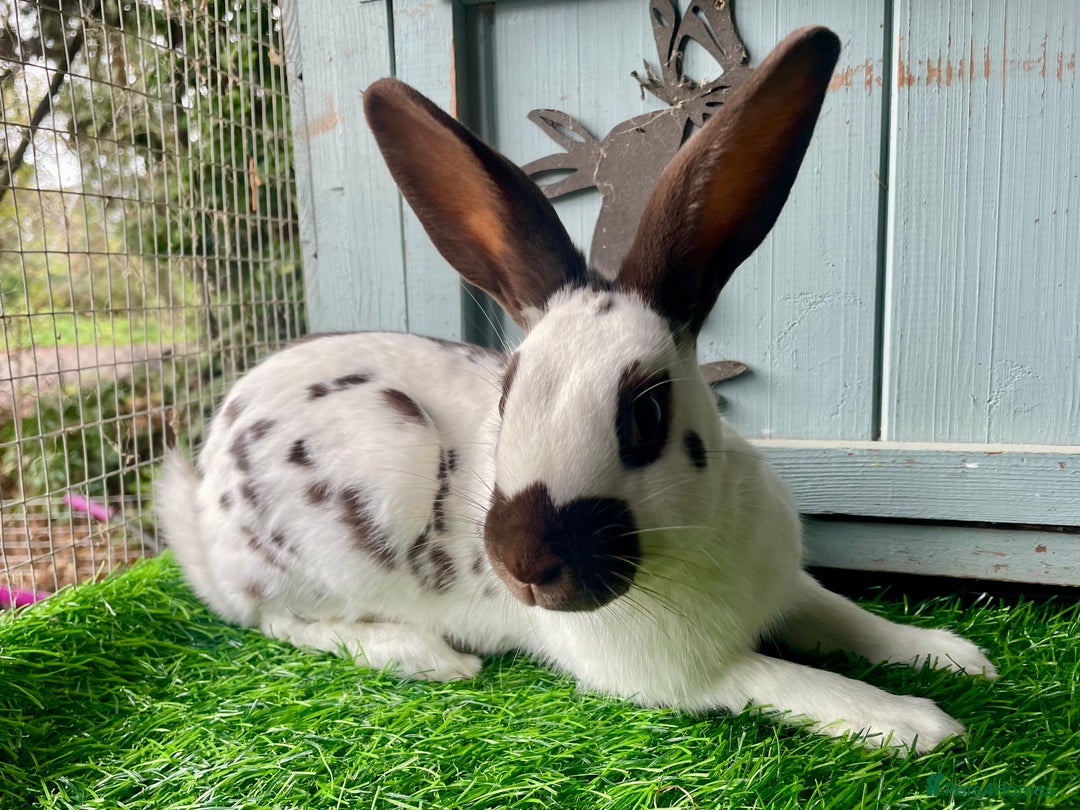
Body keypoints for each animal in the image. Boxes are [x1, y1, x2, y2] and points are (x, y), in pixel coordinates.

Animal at [156, 26, 996, 756]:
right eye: (505, 400)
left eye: (648, 412)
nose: (524, 566)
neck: (694, 538)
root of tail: (205, 497)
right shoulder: (690, 675)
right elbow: (794, 680)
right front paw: (917, 722)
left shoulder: (791, 589)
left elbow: (850, 616)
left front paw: (954, 655)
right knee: (277, 618)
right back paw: (424, 655)